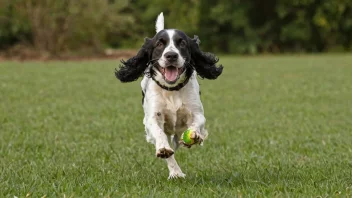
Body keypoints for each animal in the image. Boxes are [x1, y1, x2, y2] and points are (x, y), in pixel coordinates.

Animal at [115, 12, 223, 179]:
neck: (171, 90)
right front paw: (165, 153)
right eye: (159, 44)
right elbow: (159, 135)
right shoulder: (152, 117)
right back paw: (176, 172)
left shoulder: (197, 113)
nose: (171, 55)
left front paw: (195, 135)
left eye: (182, 43)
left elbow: (196, 124)